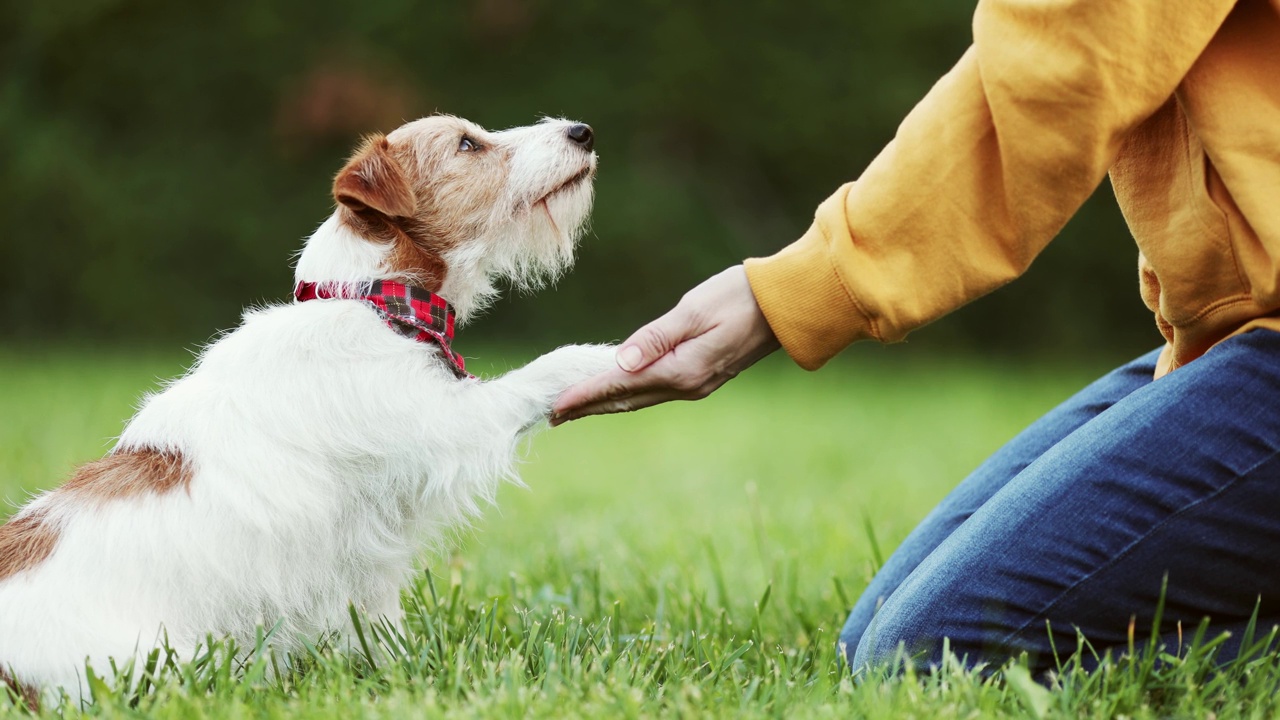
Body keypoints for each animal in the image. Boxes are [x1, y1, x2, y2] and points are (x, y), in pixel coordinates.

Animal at [0, 114, 619, 702]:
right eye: (468, 145)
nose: (582, 132)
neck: (372, 302)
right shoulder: (447, 421)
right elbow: (536, 373)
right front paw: (601, 356)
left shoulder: (367, 555)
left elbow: (382, 628)